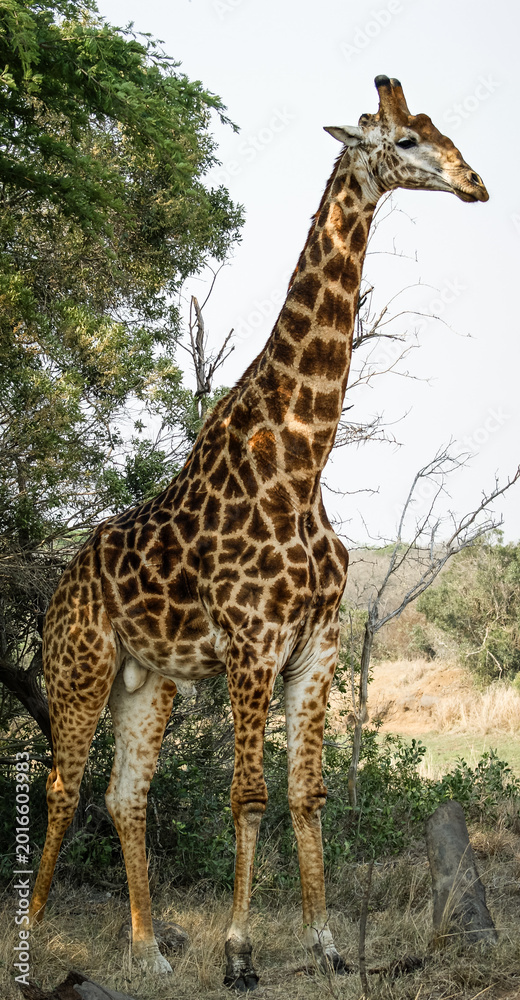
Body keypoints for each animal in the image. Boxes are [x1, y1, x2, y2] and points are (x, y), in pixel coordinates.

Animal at [30, 76, 488, 990]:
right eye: (404, 141)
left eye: (440, 132)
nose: (475, 182)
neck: (301, 462)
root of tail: (63, 583)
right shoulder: (252, 642)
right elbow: (249, 796)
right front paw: (240, 953)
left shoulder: (317, 648)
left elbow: (307, 794)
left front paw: (327, 945)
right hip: (79, 666)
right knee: (61, 788)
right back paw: (26, 945)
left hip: (148, 681)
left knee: (124, 794)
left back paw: (147, 952)